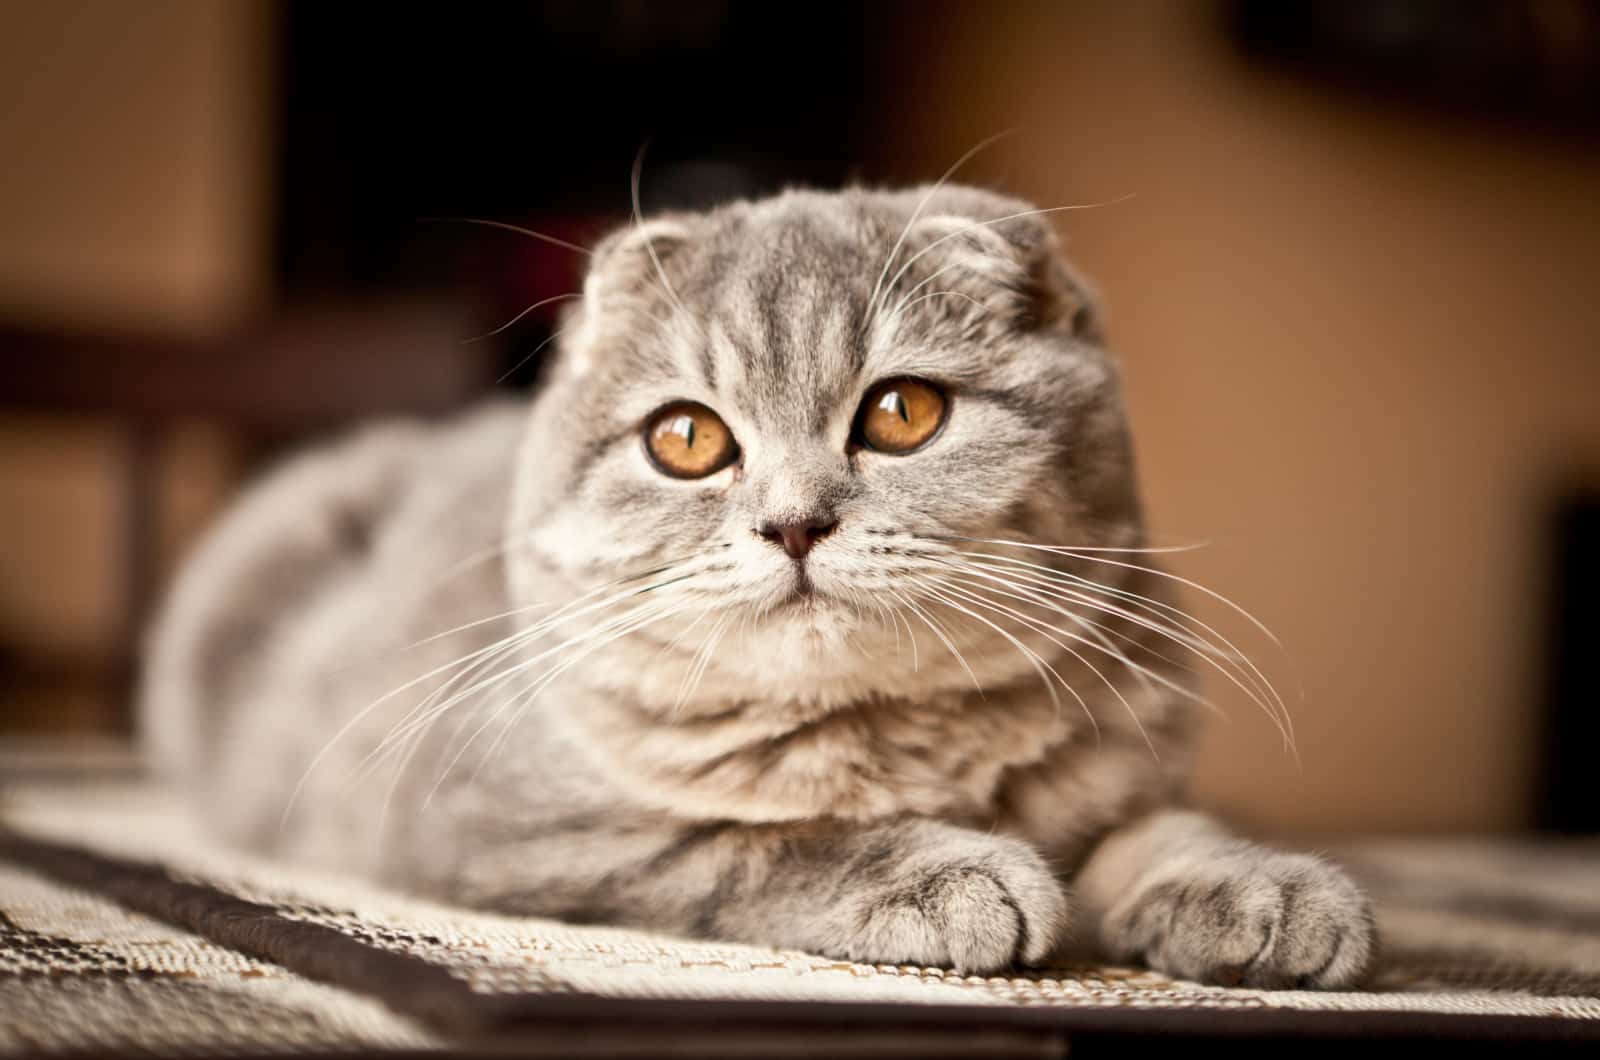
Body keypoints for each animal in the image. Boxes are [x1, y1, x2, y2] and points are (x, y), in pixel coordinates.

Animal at [144, 182, 1376, 986]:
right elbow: (752, 842)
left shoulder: (1123, 768)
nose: (793, 522)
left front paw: (1265, 891)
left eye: (903, 412)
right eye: (686, 437)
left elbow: (1158, 831)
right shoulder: (515, 832)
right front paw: (945, 876)